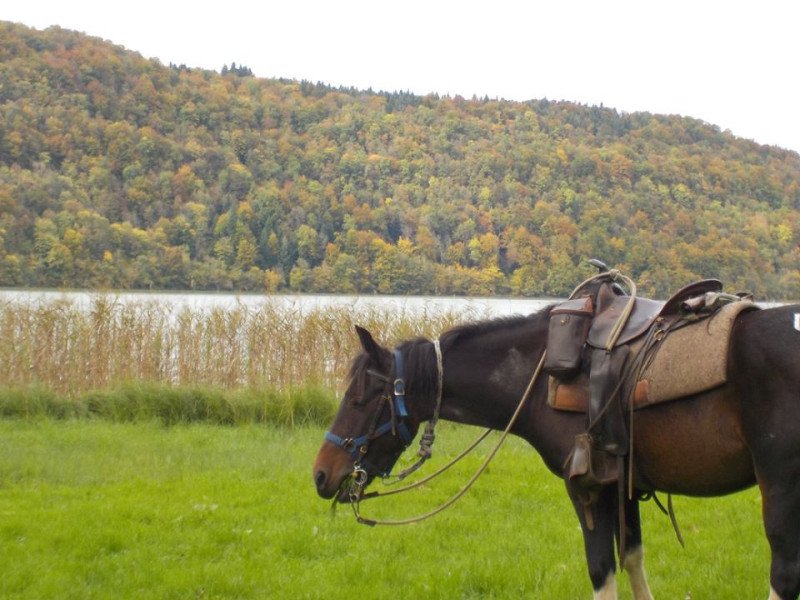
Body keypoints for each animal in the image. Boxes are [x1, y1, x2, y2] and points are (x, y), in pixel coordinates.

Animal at [310, 304, 800, 600]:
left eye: (360, 399)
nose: (320, 474)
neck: (540, 372)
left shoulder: (586, 488)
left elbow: (602, 570)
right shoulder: (622, 486)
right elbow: (633, 559)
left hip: (781, 487)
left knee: (784, 574)